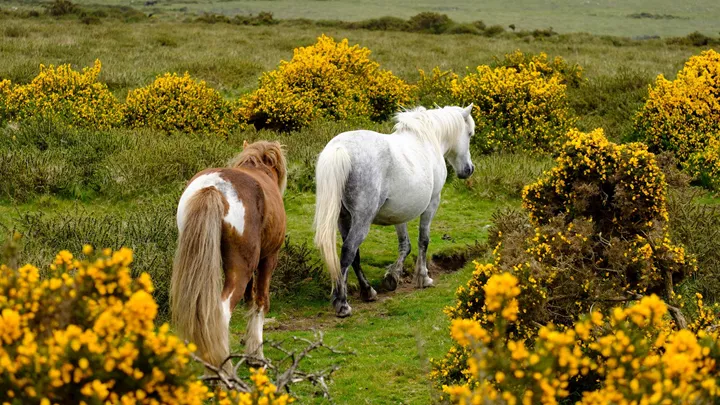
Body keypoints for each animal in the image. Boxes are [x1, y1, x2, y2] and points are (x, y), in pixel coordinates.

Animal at [171, 140, 287, 369]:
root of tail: (213, 187)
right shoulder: (268, 259)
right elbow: (261, 301)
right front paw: (257, 356)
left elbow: (250, 300)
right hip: (241, 269)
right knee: (221, 313)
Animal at [313, 105, 475, 317]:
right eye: (470, 134)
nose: (469, 169)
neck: (427, 139)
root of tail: (340, 149)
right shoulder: (432, 203)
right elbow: (423, 241)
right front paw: (423, 278)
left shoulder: (400, 213)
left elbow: (405, 245)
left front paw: (393, 277)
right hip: (362, 220)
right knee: (349, 251)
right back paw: (342, 304)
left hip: (343, 218)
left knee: (354, 255)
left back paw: (368, 291)